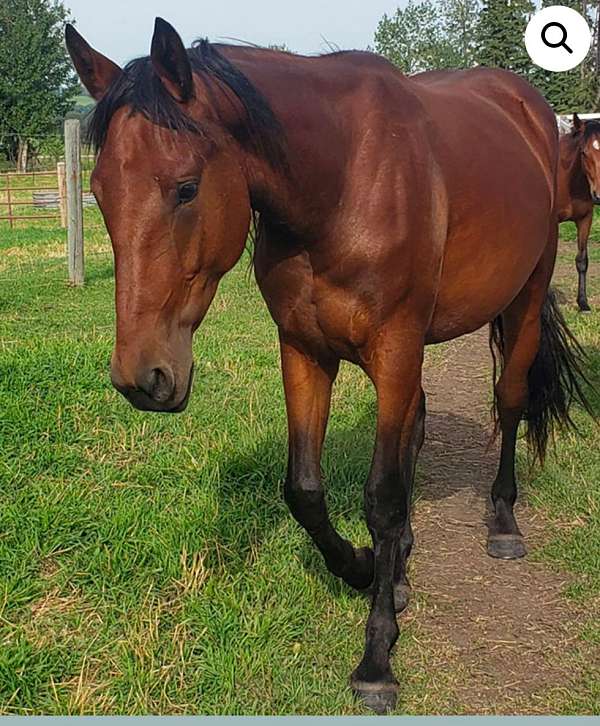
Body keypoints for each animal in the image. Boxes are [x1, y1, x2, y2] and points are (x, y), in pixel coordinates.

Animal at [65, 19, 592, 713]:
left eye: (186, 187)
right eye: (99, 193)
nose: (141, 377)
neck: (342, 181)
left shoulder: (394, 349)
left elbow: (383, 496)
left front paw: (377, 657)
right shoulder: (303, 349)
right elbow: (306, 491)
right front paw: (370, 568)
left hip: (525, 297)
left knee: (508, 400)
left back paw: (503, 521)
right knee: (418, 426)